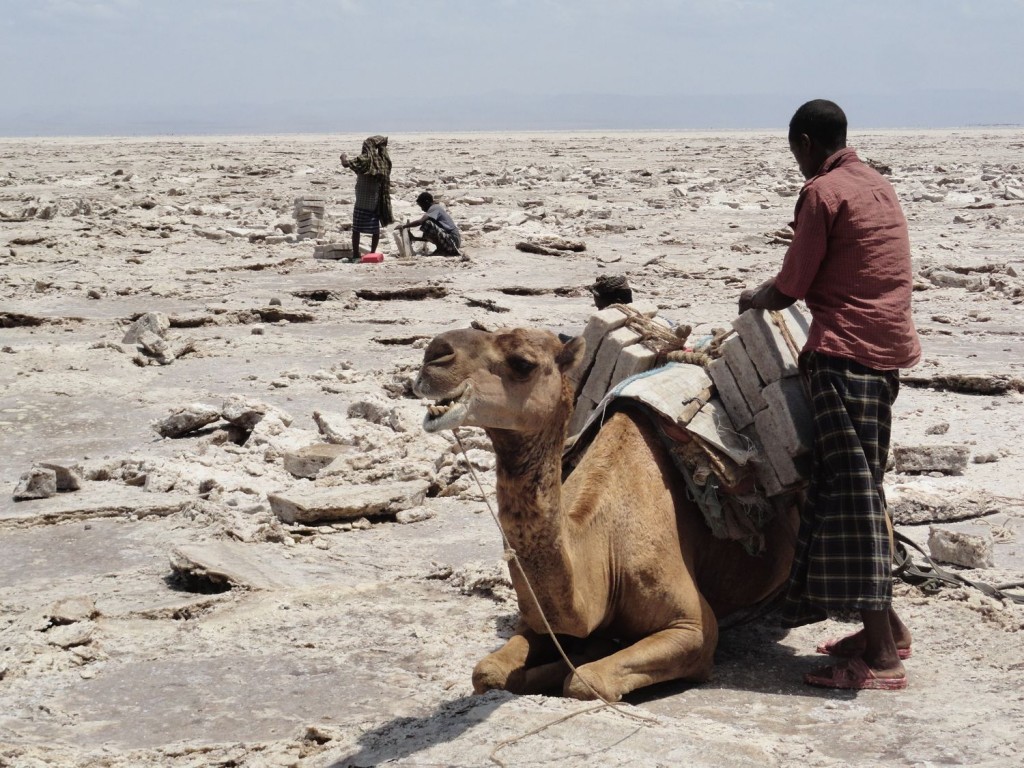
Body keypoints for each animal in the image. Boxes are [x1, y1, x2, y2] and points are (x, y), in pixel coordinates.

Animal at [411, 325, 794, 704]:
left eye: (522, 363)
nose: (435, 354)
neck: (605, 552)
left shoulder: (695, 627)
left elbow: (583, 681)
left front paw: (588, 655)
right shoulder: (539, 619)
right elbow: (487, 673)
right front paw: (584, 649)